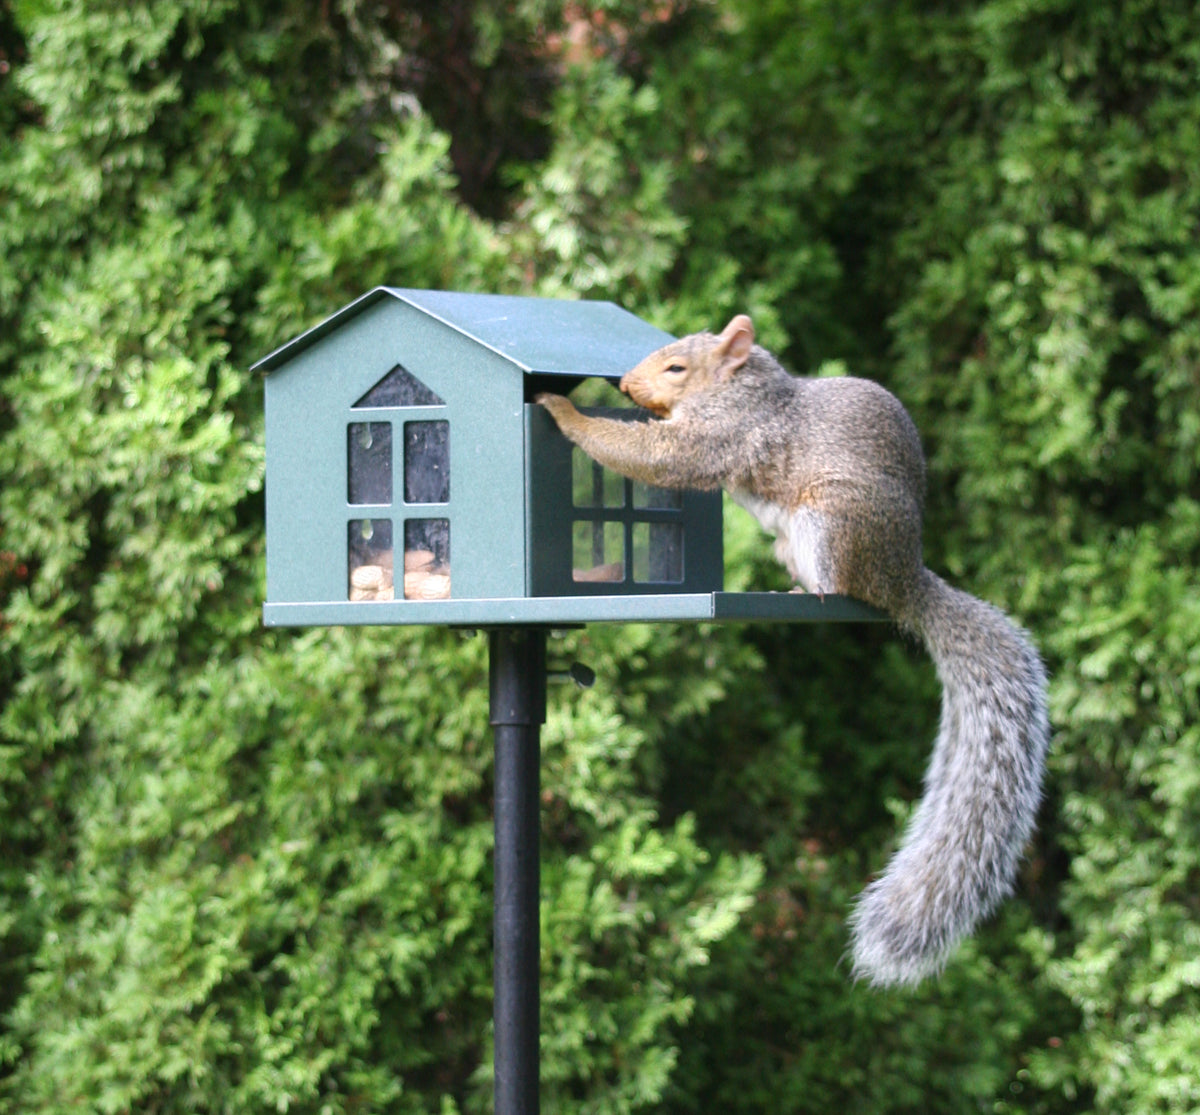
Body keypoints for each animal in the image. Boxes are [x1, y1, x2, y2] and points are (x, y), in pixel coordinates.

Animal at [537, 314, 1050, 987]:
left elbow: (663, 457)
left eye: (677, 367)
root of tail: (904, 579)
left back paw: (814, 590)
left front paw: (563, 411)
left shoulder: (727, 431)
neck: (742, 385)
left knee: (846, 587)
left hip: (831, 523)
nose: (622, 384)